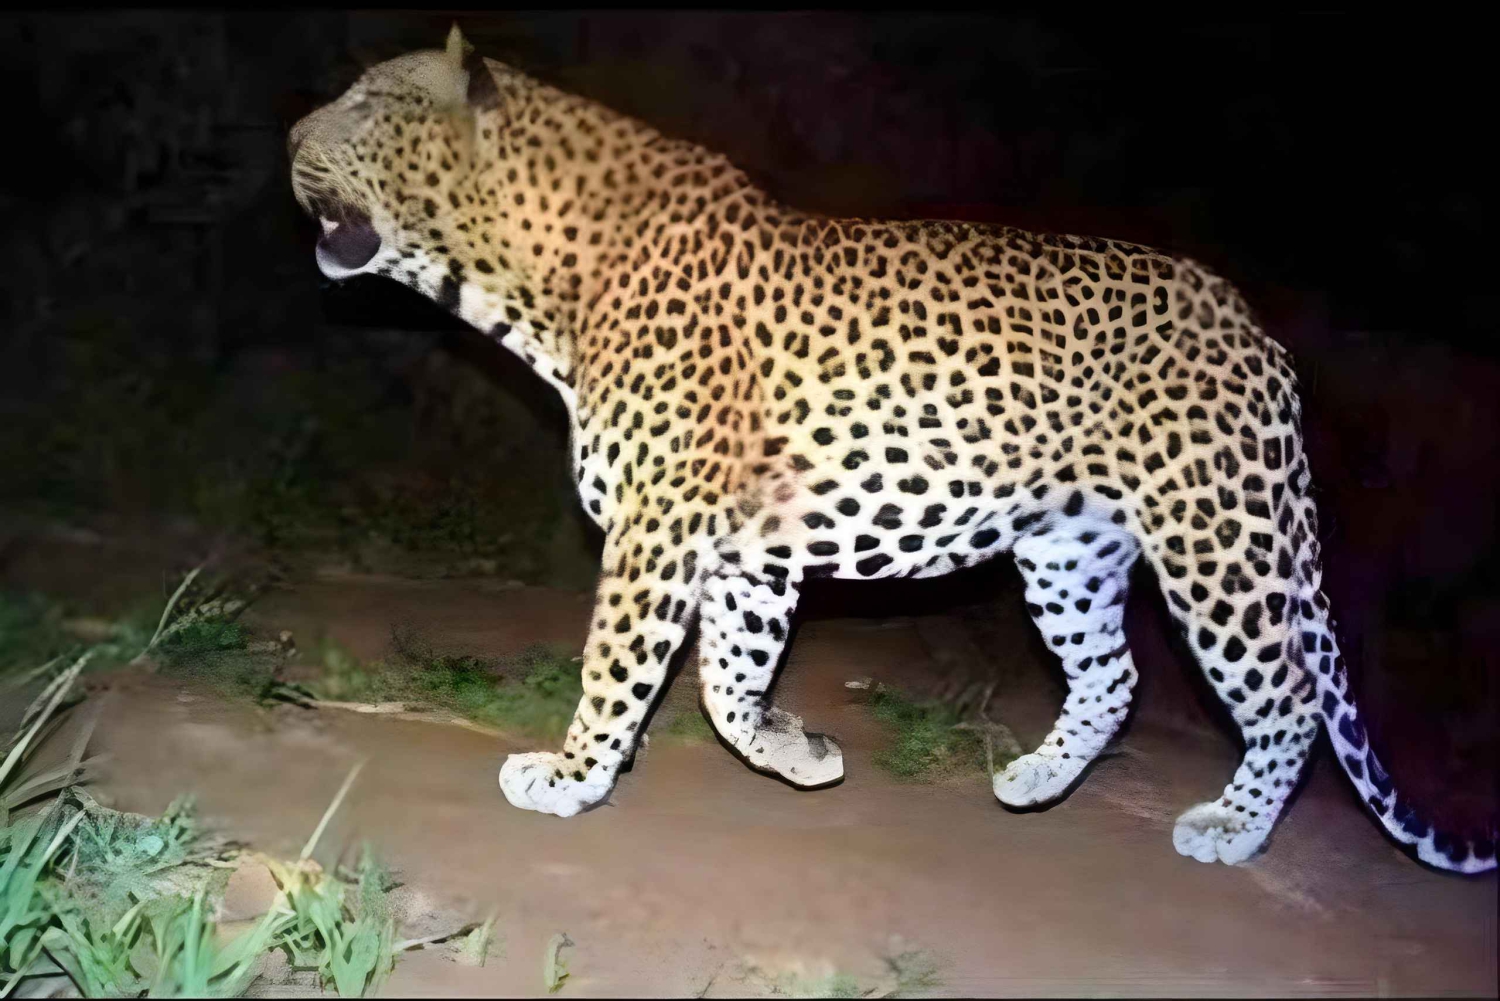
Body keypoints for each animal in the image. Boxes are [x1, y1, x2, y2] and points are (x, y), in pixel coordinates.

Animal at [287, 26, 1495, 872]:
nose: (291, 137)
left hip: (1218, 545)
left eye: (367, 100)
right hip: (1067, 550)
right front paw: (799, 750)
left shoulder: (656, 529)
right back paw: (1035, 781)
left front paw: (573, 773)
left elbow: (616, 664)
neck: (542, 282)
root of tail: (1254, 328)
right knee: (1115, 674)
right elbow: (727, 683)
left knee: (1285, 696)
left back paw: (1231, 829)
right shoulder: (746, 551)